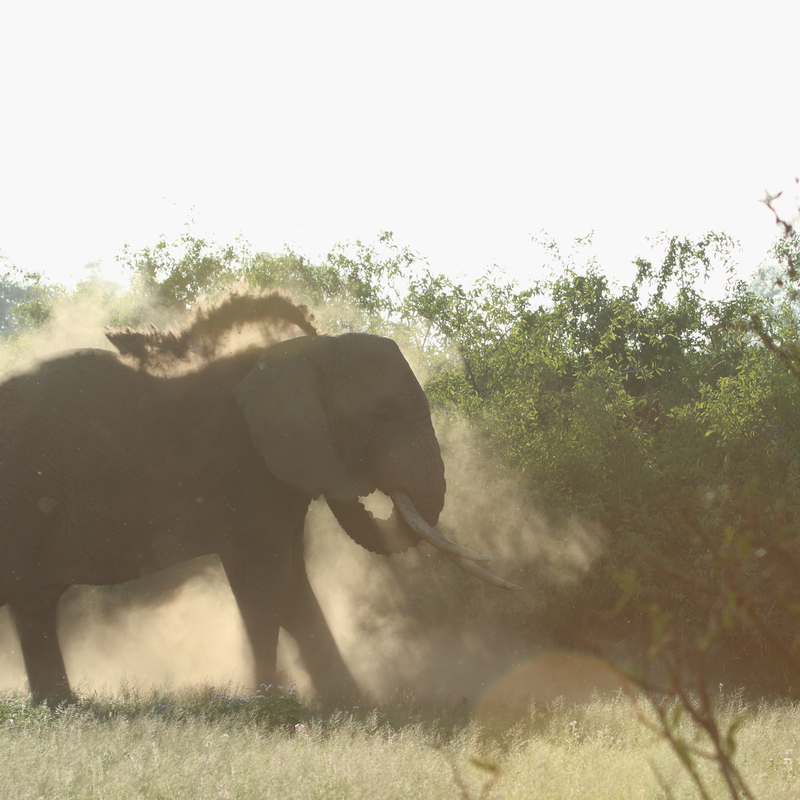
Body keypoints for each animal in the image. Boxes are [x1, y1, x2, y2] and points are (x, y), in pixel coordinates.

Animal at [0, 291, 518, 706]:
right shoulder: (245, 472)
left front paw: (351, 703)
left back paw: (61, 706)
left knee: (34, 606)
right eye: (382, 414)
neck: (298, 356)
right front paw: (267, 704)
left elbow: (293, 590)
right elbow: (263, 584)